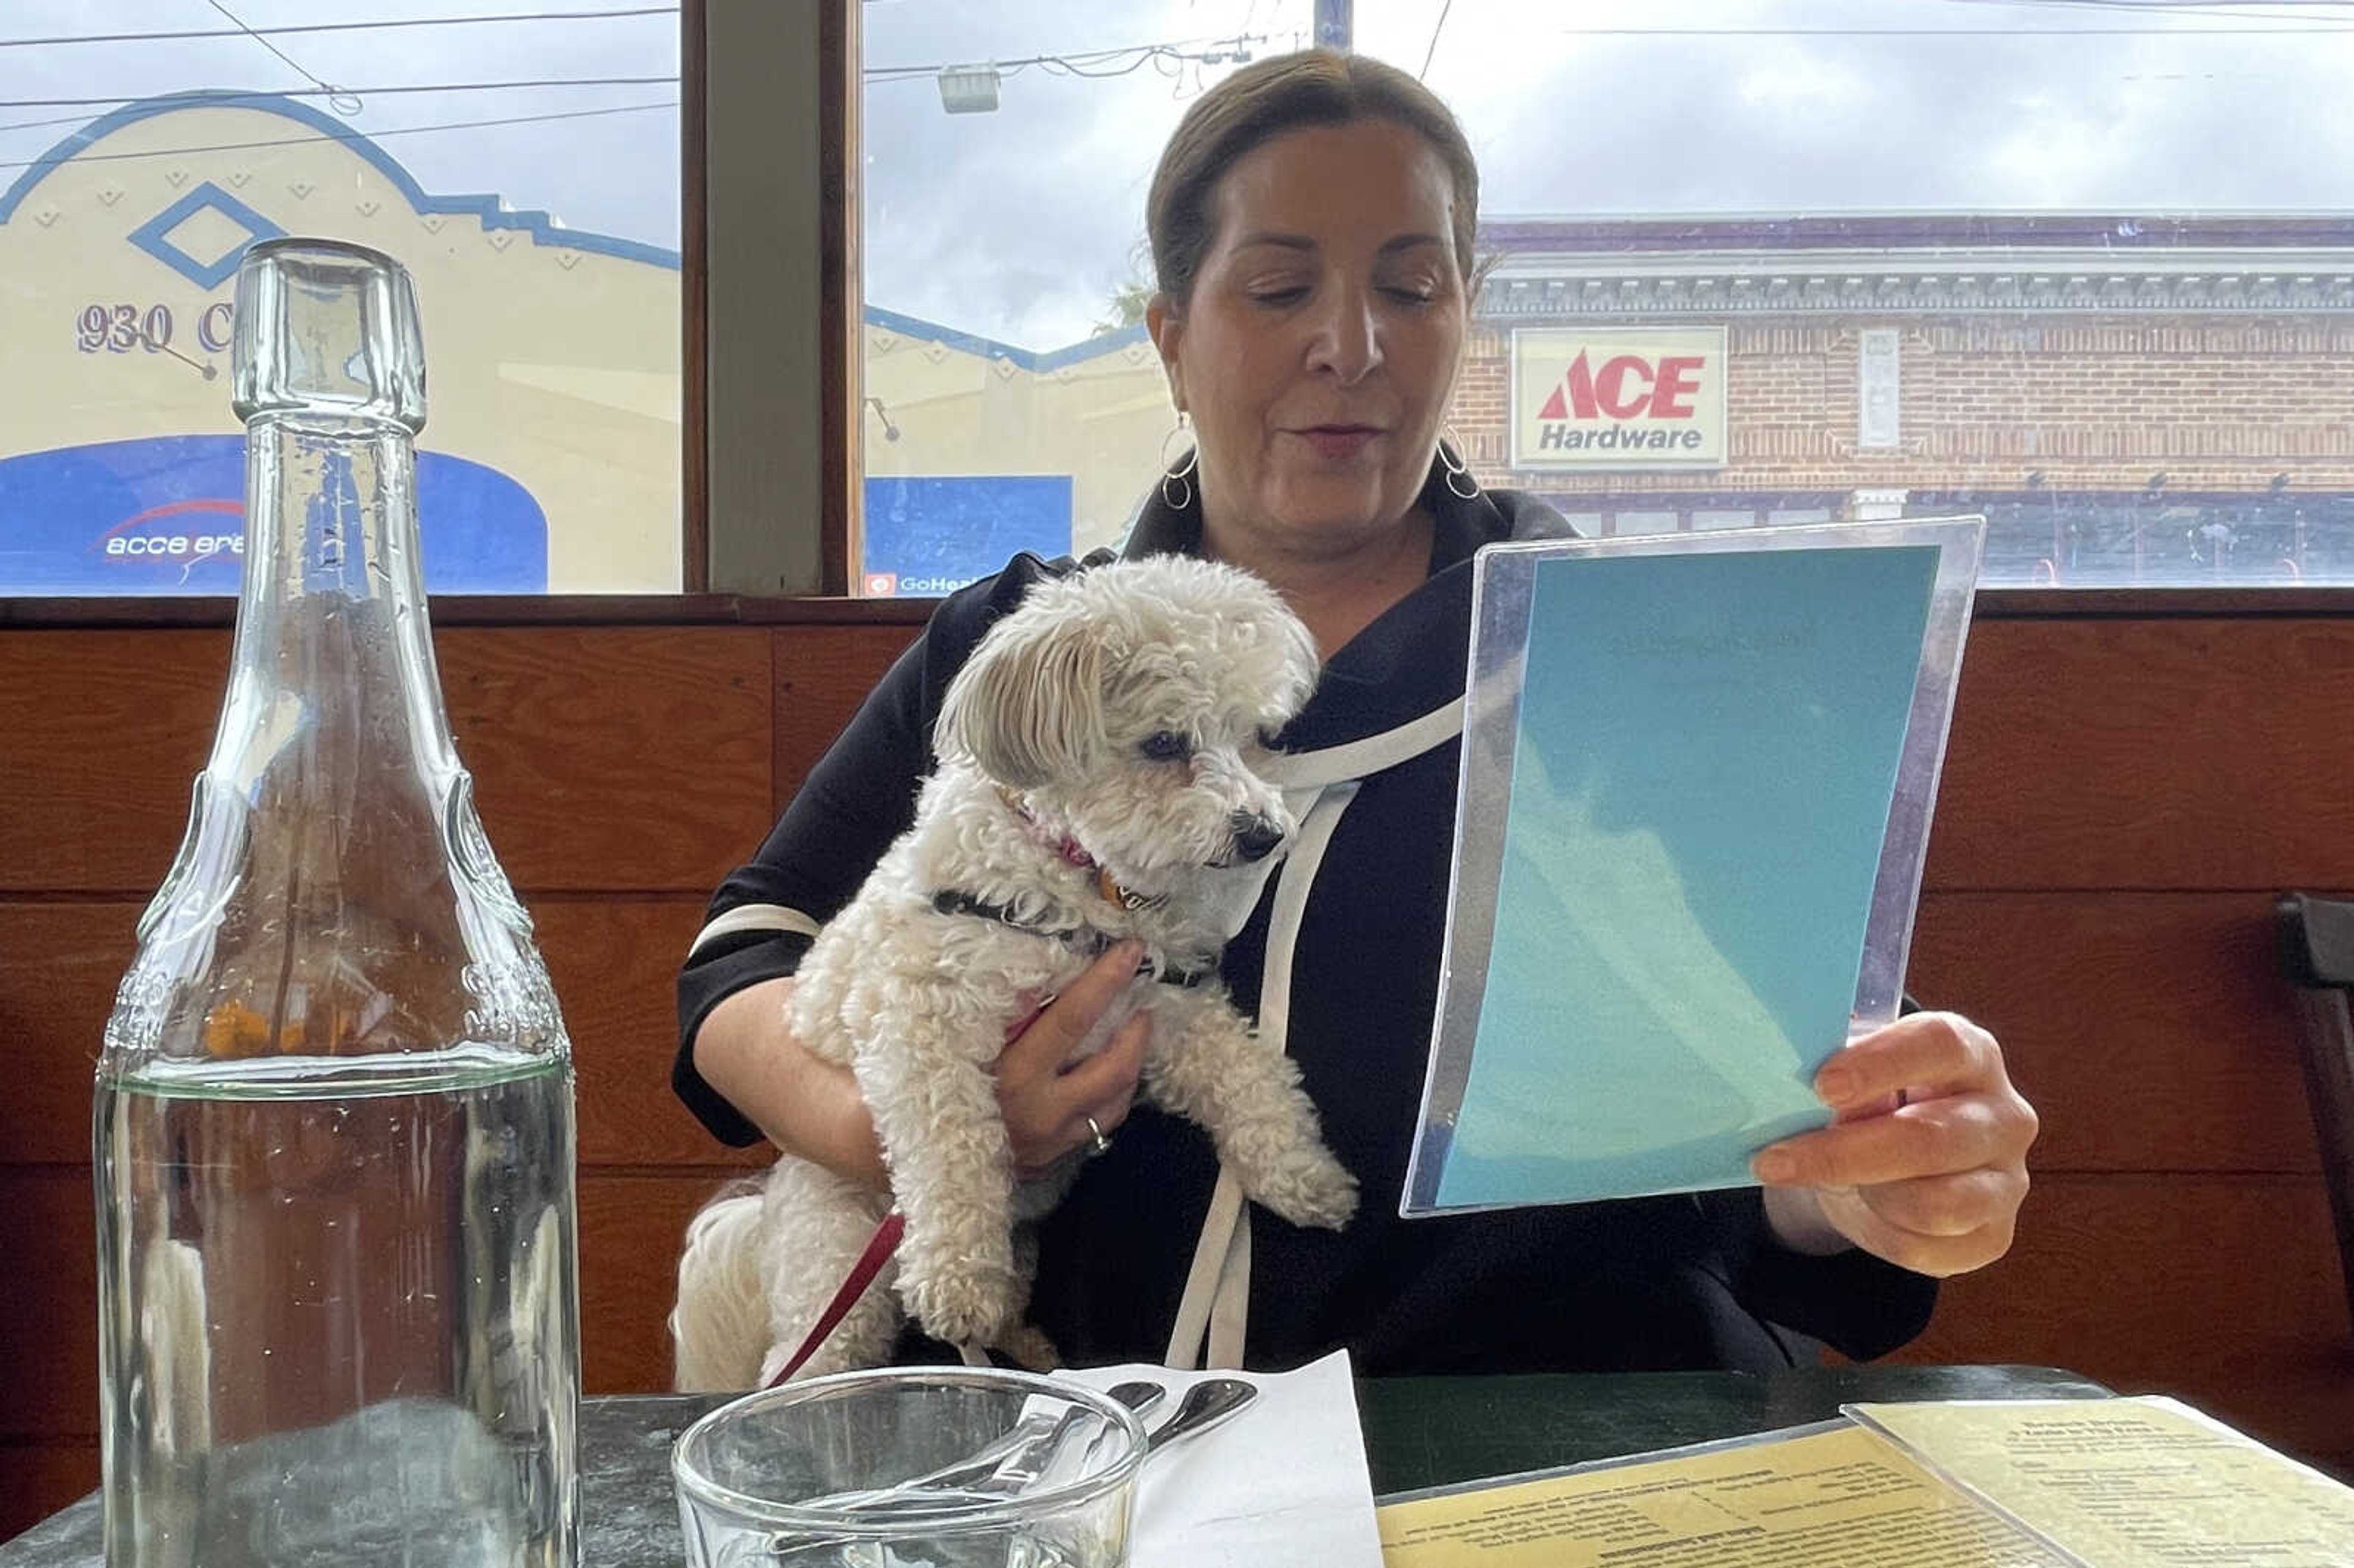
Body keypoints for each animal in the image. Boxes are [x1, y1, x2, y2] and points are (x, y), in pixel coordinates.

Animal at [673, 555, 1355, 1384]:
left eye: (1259, 736)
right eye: (1164, 742)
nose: (1263, 833)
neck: (1084, 885)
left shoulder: (1167, 1011)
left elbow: (1250, 1076)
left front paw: (1306, 1172)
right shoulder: (923, 1026)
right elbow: (953, 1150)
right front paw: (955, 1277)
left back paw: (1027, 1347)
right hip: (838, 1254)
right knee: (812, 1348)